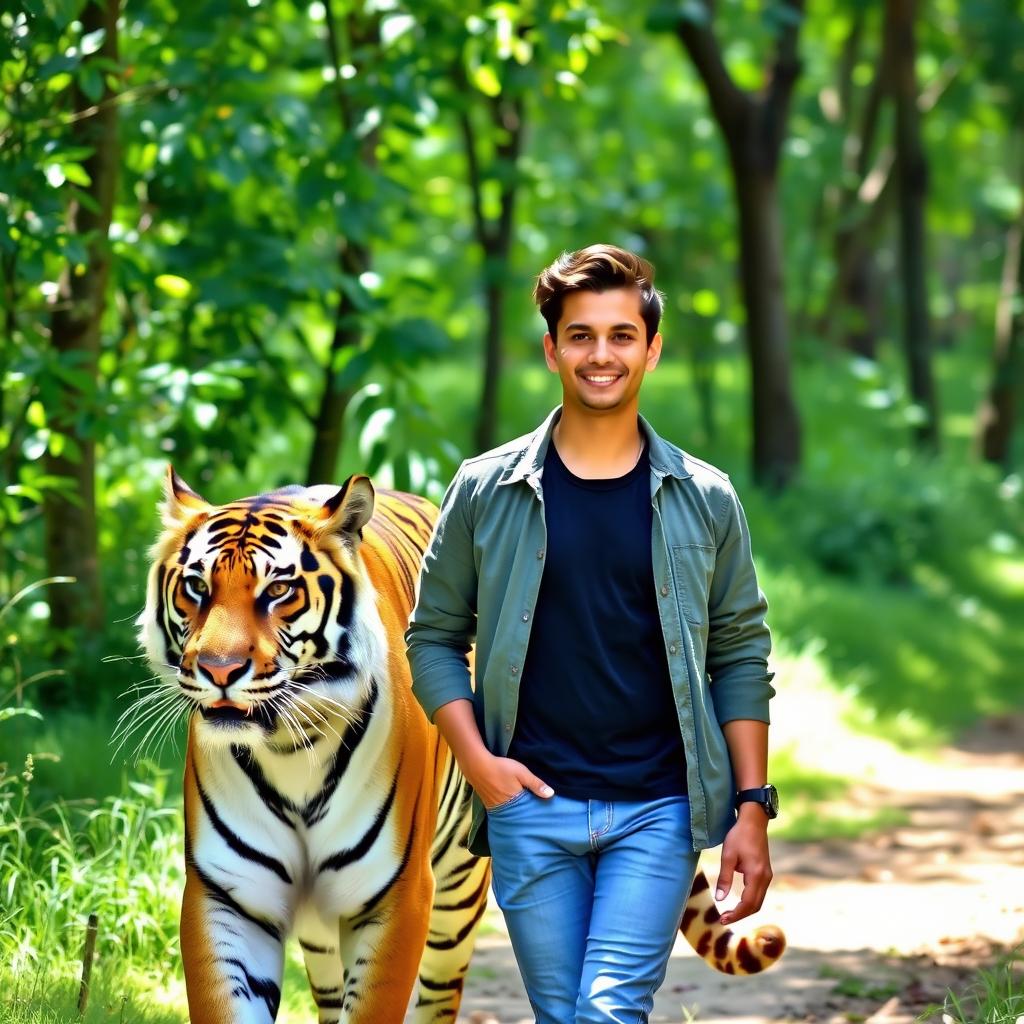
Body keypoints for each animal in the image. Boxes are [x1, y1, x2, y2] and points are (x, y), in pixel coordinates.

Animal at [138, 468, 782, 1019]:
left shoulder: (396, 897)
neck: (289, 751)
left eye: (279, 590)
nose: (220, 670)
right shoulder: (225, 896)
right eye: (195, 587)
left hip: (457, 890)